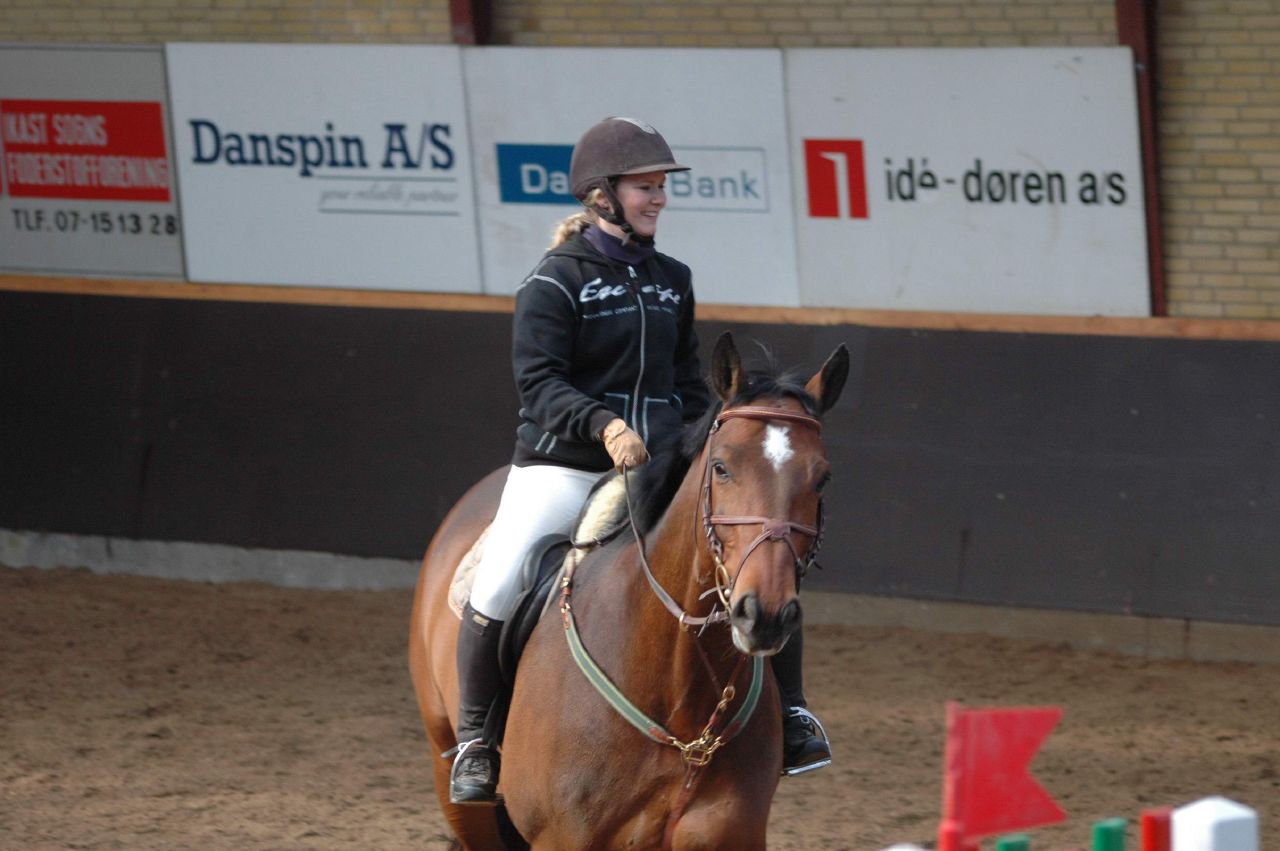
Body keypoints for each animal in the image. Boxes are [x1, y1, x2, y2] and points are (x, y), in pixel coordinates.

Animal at [412, 332, 849, 849]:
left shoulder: (731, 834)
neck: (682, 704)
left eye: (822, 477)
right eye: (721, 467)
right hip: (452, 777)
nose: (764, 616)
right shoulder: (563, 838)